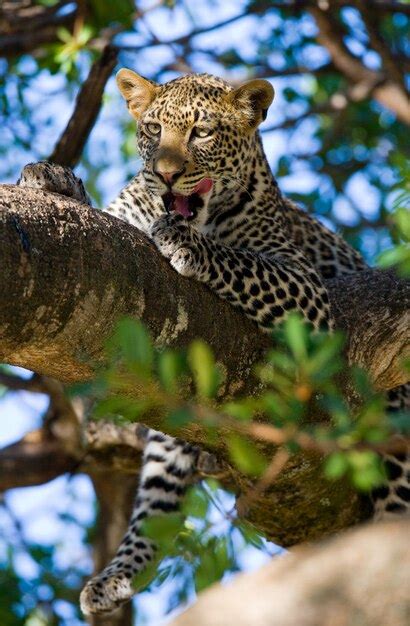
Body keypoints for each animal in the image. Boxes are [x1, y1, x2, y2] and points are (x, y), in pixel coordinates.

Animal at [16, 69, 410, 616]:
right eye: (153, 129)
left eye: (201, 133)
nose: (164, 175)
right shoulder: (117, 234)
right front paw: (54, 180)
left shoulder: (306, 293)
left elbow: (243, 263)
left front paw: (187, 245)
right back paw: (115, 578)